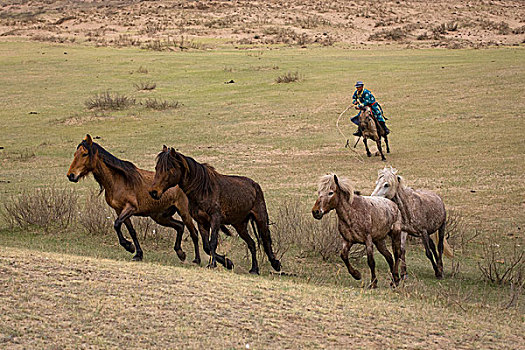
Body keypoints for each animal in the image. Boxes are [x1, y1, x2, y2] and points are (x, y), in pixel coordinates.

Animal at [66, 135, 202, 264]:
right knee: (180, 226)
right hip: (160, 217)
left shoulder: (130, 208)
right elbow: (131, 231)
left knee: (194, 233)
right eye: (75, 154)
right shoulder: (120, 210)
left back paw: (197, 259)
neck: (118, 180)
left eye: (84, 154)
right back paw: (180, 253)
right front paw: (137, 254)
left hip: (184, 212)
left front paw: (129, 246)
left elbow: (116, 224)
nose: (71, 175)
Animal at [147, 146, 280, 274]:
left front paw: (213, 264)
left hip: (260, 219)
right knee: (252, 243)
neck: (203, 190)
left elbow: (213, 243)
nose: (153, 192)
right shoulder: (202, 222)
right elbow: (206, 246)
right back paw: (254, 269)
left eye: (169, 168)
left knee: (266, 240)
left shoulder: (215, 219)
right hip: (239, 225)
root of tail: (255, 184)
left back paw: (275, 264)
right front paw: (227, 263)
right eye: (157, 168)